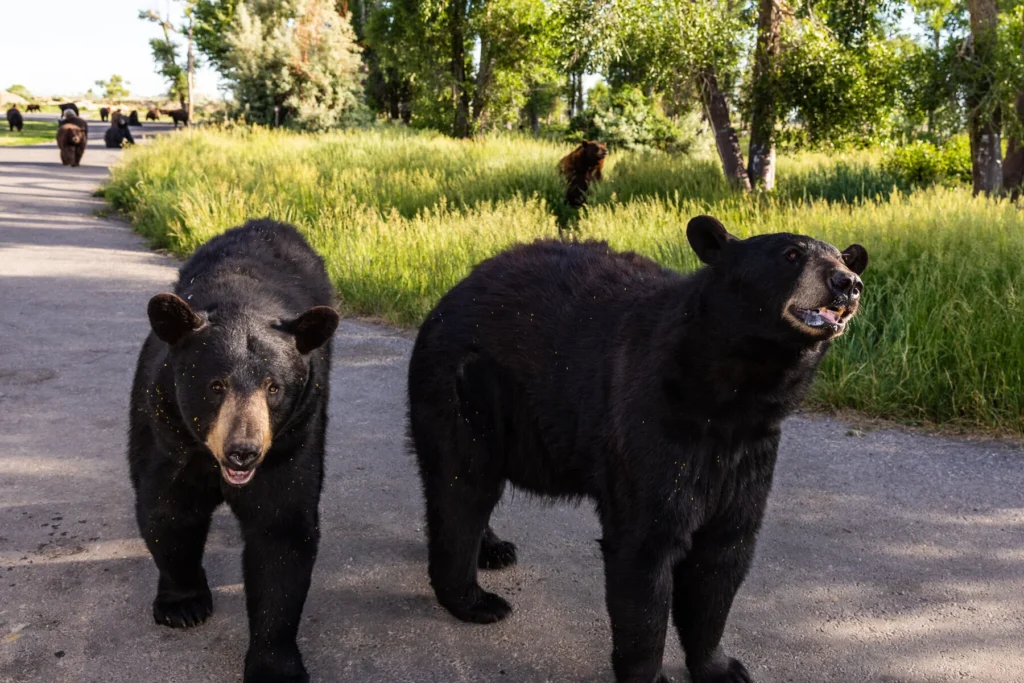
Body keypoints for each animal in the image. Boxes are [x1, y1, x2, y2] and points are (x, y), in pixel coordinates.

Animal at [129, 219, 340, 683]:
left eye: (274, 387)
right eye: (216, 385)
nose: (243, 451)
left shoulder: (291, 440)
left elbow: (281, 529)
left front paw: (275, 665)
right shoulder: (165, 425)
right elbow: (169, 509)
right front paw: (183, 604)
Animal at [407, 215, 868, 683]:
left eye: (843, 258)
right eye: (791, 254)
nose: (848, 283)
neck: (729, 399)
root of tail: (452, 291)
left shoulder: (749, 452)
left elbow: (723, 555)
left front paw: (721, 667)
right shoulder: (650, 424)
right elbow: (644, 553)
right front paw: (649, 672)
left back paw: (493, 549)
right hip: (467, 385)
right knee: (462, 485)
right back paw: (474, 599)